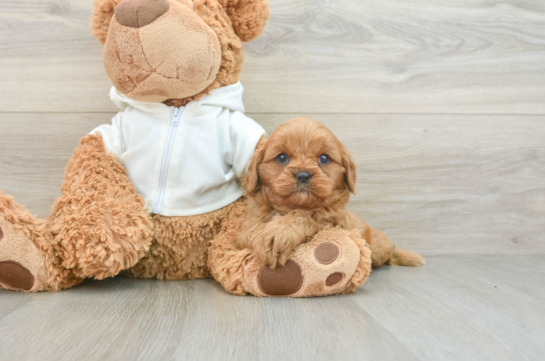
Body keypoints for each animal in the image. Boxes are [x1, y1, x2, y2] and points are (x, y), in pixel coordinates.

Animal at [236, 115, 422, 268]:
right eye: (282, 157)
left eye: (324, 158)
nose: (303, 175)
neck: (290, 207)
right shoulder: (244, 231)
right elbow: (253, 232)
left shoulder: (331, 225)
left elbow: (305, 218)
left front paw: (281, 231)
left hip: (378, 246)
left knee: (388, 253)